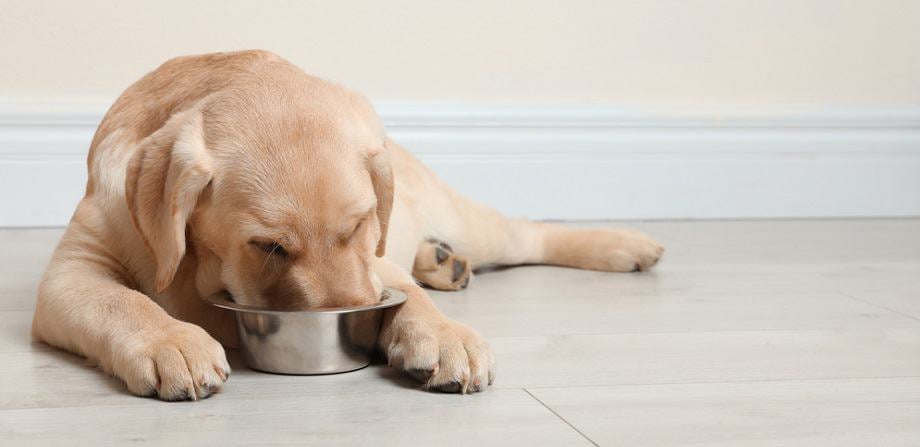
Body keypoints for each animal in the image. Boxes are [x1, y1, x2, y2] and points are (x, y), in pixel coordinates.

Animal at [28, 50, 660, 400]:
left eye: (358, 225)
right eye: (269, 246)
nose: (355, 316)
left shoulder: (375, 262)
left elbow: (405, 294)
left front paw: (444, 335)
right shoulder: (73, 271)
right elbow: (124, 302)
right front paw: (172, 342)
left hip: (462, 217)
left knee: (527, 232)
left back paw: (625, 244)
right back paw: (443, 262)